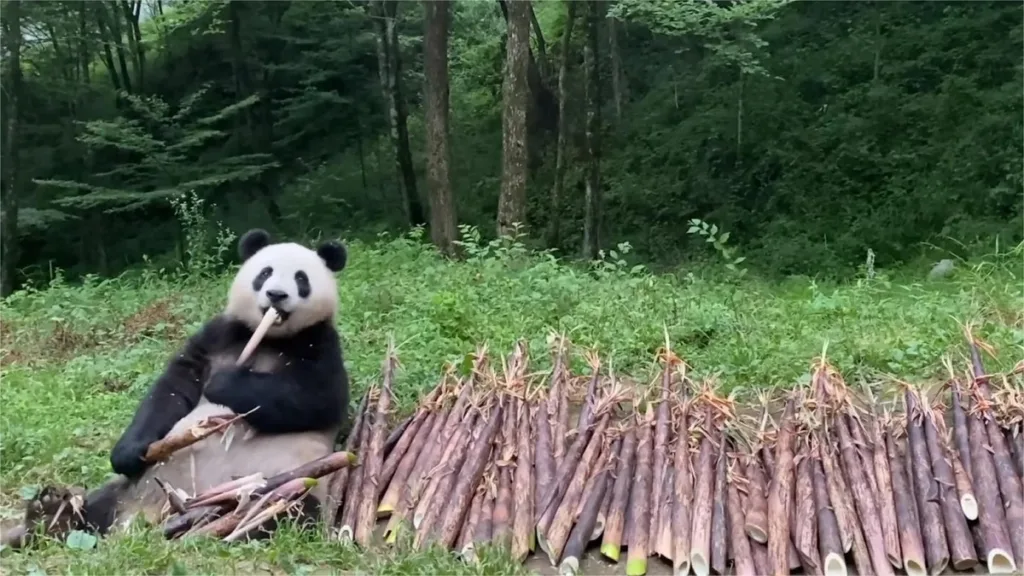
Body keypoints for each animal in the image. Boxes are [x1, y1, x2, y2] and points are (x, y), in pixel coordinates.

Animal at [42, 229, 350, 539]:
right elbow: (173, 388)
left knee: (287, 513)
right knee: (95, 505)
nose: (276, 294)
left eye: (301, 279)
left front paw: (224, 383)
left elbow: (318, 399)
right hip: (136, 485)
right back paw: (50, 513)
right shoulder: (220, 334)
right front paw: (128, 452)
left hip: (290, 479)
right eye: (265, 273)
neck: (271, 337)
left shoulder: (319, 343)